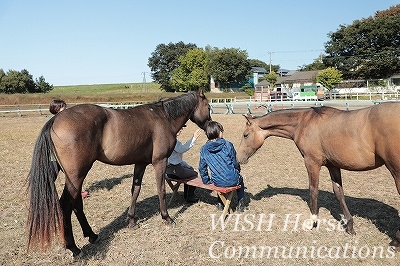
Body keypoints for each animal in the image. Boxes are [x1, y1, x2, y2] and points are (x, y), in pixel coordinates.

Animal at [26, 89, 211, 258]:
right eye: (208, 106)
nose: (210, 126)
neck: (164, 117)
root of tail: (56, 119)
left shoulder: (140, 163)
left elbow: (135, 190)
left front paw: (131, 220)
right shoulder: (160, 162)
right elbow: (161, 190)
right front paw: (166, 218)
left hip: (73, 176)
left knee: (76, 203)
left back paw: (91, 235)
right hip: (76, 175)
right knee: (66, 205)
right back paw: (73, 247)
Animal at [236, 103, 400, 249]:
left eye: (245, 135)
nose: (239, 158)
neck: (304, 122)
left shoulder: (312, 162)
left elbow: (313, 190)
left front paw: (312, 222)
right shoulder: (333, 165)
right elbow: (338, 193)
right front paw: (350, 226)